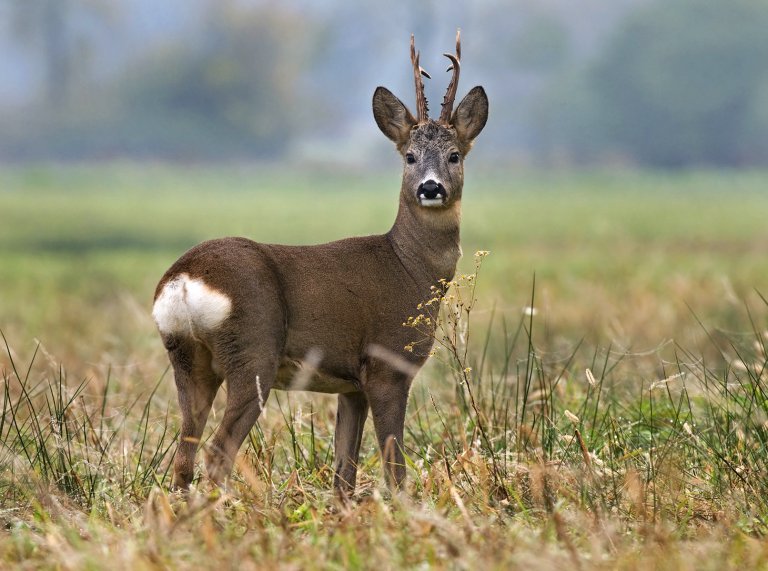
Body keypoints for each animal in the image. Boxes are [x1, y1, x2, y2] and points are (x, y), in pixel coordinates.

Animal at [152, 32, 488, 496]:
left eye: (455, 155)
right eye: (409, 156)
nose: (431, 188)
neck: (409, 268)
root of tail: (184, 279)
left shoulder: (352, 387)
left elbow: (343, 474)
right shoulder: (386, 364)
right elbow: (394, 467)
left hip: (188, 359)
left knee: (183, 456)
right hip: (253, 352)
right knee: (217, 451)